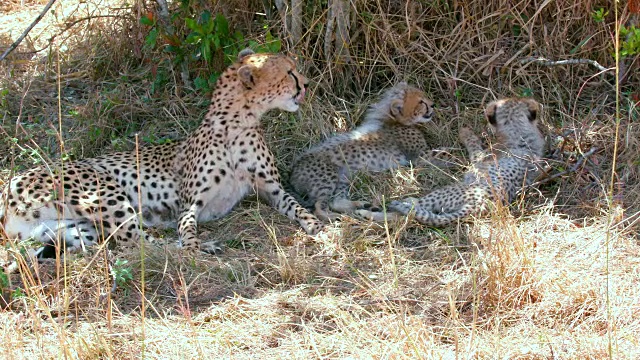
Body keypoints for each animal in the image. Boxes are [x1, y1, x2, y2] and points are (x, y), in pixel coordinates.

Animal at [0, 48, 320, 256]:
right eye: (289, 72)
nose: (306, 84)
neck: (237, 123)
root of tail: (10, 186)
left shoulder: (271, 189)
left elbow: (296, 206)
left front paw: (317, 224)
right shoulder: (190, 203)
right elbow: (187, 228)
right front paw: (194, 245)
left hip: (70, 228)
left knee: (124, 242)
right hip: (102, 191)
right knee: (138, 243)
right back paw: (202, 246)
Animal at [288, 82, 436, 221]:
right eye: (421, 102)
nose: (433, 104)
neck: (390, 119)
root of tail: (292, 170)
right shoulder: (420, 156)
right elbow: (440, 153)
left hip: (344, 176)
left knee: (335, 201)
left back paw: (361, 205)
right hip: (327, 176)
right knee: (318, 207)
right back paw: (335, 217)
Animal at [356, 95, 544, 225]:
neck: (518, 130)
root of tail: (482, 203)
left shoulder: (478, 159)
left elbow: (473, 144)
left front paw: (465, 132)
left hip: (446, 191)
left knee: (405, 214)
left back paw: (369, 212)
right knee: (409, 215)